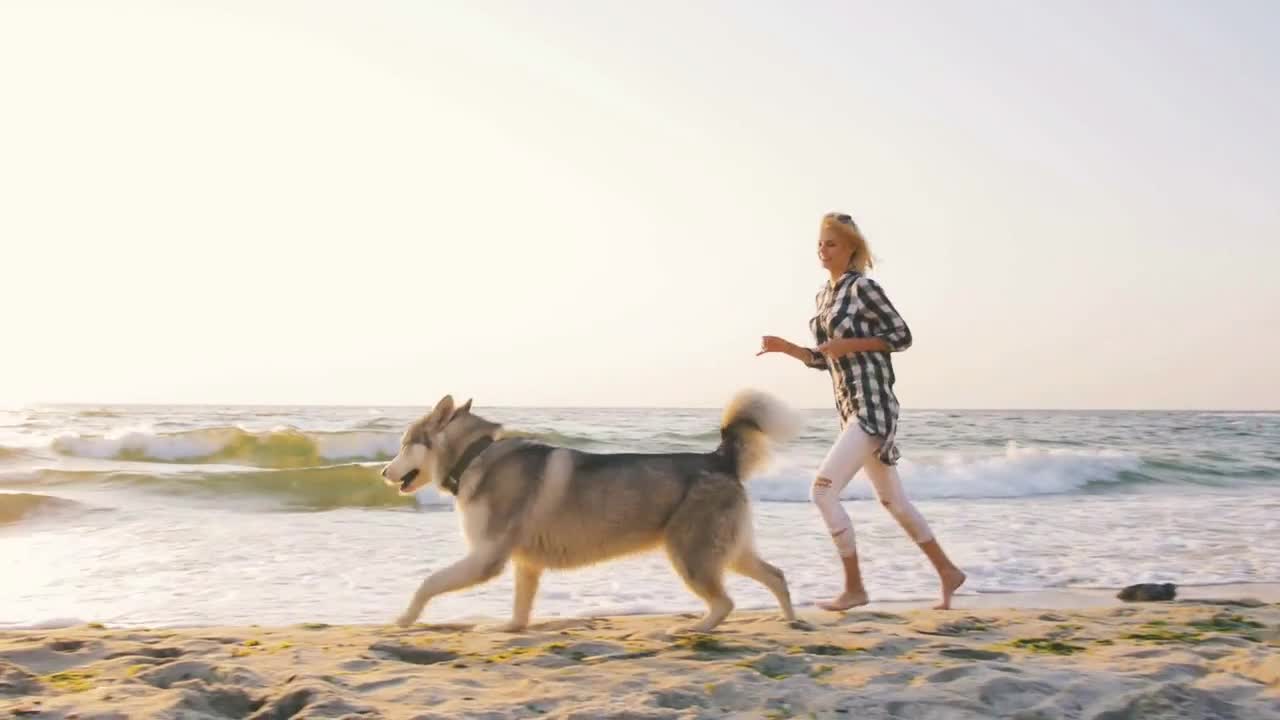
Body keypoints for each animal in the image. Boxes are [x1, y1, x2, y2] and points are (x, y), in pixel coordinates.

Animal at [378, 389, 798, 630]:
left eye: (404, 444)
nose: (383, 472)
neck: (473, 455)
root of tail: (719, 458)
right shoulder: (525, 563)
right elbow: (520, 608)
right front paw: (509, 628)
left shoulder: (486, 557)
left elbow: (428, 582)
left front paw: (404, 617)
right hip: (730, 551)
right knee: (776, 575)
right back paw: (789, 620)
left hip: (690, 555)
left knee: (726, 602)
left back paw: (694, 628)